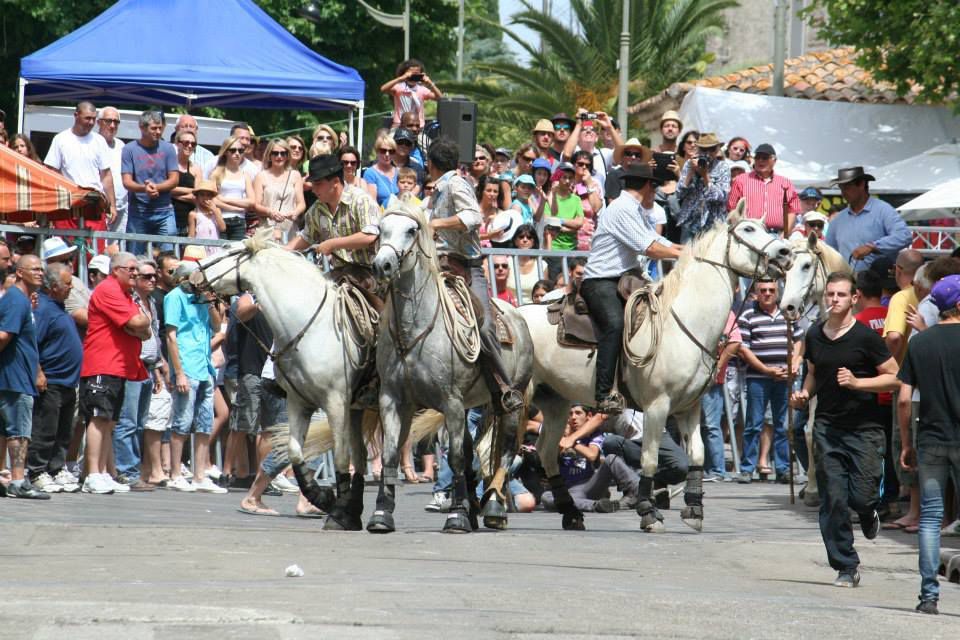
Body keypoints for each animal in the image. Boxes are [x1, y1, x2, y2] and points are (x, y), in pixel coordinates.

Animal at [191, 234, 376, 528]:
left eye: (226, 248)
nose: (185, 272)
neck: (313, 326)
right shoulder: (299, 402)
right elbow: (295, 452)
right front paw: (323, 498)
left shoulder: (336, 403)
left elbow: (340, 456)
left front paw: (336, 513)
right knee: (362, 457)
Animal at [370, 205, 536, 536]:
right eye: (382, 229)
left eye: (411, 230)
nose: (382, 264)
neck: (415, 330)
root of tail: (517, 314)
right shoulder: (392, 399)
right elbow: (391, 452)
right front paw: (381, 514)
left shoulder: (451, 402)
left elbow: (458, 458)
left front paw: (457, 516)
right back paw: (476, 510)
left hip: (511, 400)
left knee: (506, 448)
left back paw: (493, 508)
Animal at [520, 209, 792, 528]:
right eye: (748, 230)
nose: (785, 252)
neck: (681, 323)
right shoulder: (657, 406)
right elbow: (649, 458)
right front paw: (648, 511)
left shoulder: (690, 407)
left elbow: (697, 455)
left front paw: (694, 509)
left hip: (555, 402)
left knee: (546, 452)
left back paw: (571, 513)